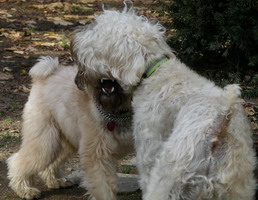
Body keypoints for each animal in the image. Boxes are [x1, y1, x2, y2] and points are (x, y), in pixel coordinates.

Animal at [70, 7, 256, 199]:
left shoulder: (148, 152)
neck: (153, 71)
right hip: (237, 187)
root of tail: (217, 130)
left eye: (96, 33)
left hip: (167, 178)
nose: (73, 40)